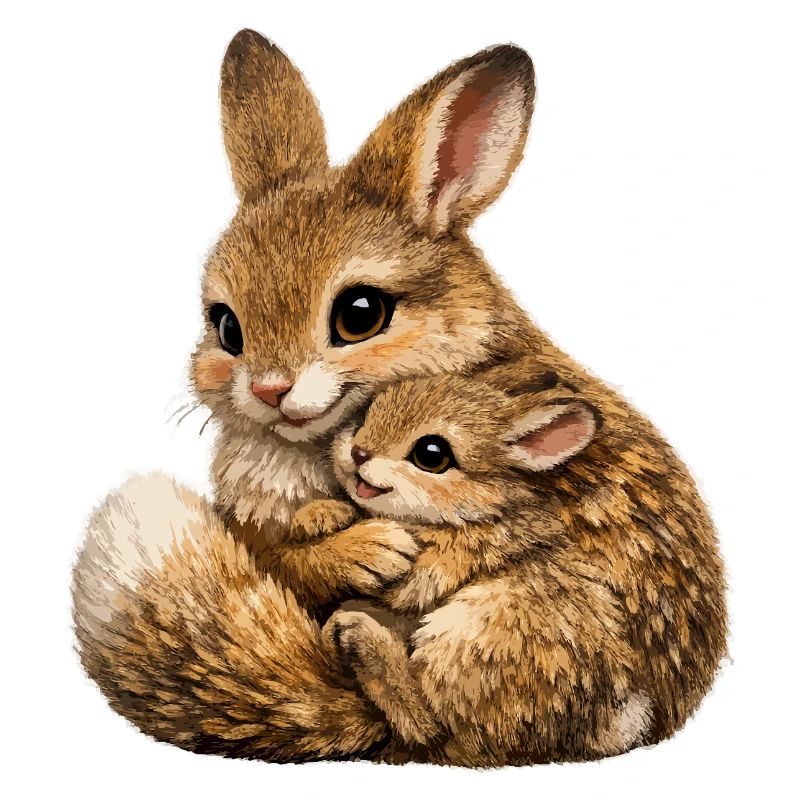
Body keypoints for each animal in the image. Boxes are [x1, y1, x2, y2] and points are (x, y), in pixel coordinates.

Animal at [71, 30, 726, 764]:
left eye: (360, 314)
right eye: (226, 326)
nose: (270, 389)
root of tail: (638, 719)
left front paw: (373, 551)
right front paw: (347, 539)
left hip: (500, 621)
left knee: (432, 725)